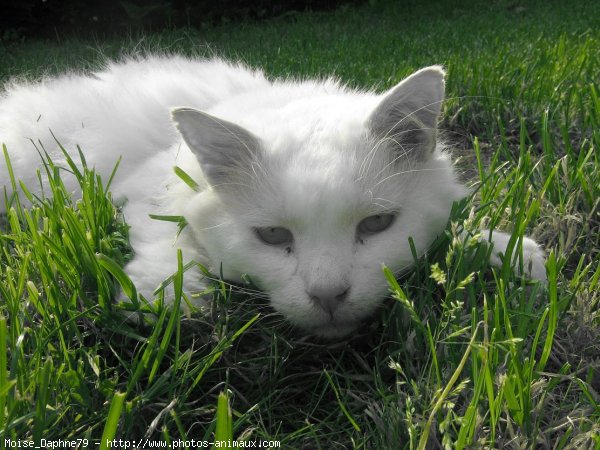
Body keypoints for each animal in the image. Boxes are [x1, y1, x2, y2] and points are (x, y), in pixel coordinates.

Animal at [0, 56, 548, 336]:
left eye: (376, 225)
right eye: (271, 236)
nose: (328, 296)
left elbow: (458, 230)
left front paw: (510, 252)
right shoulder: (145, 182)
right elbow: (163, 234)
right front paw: (167, 298)